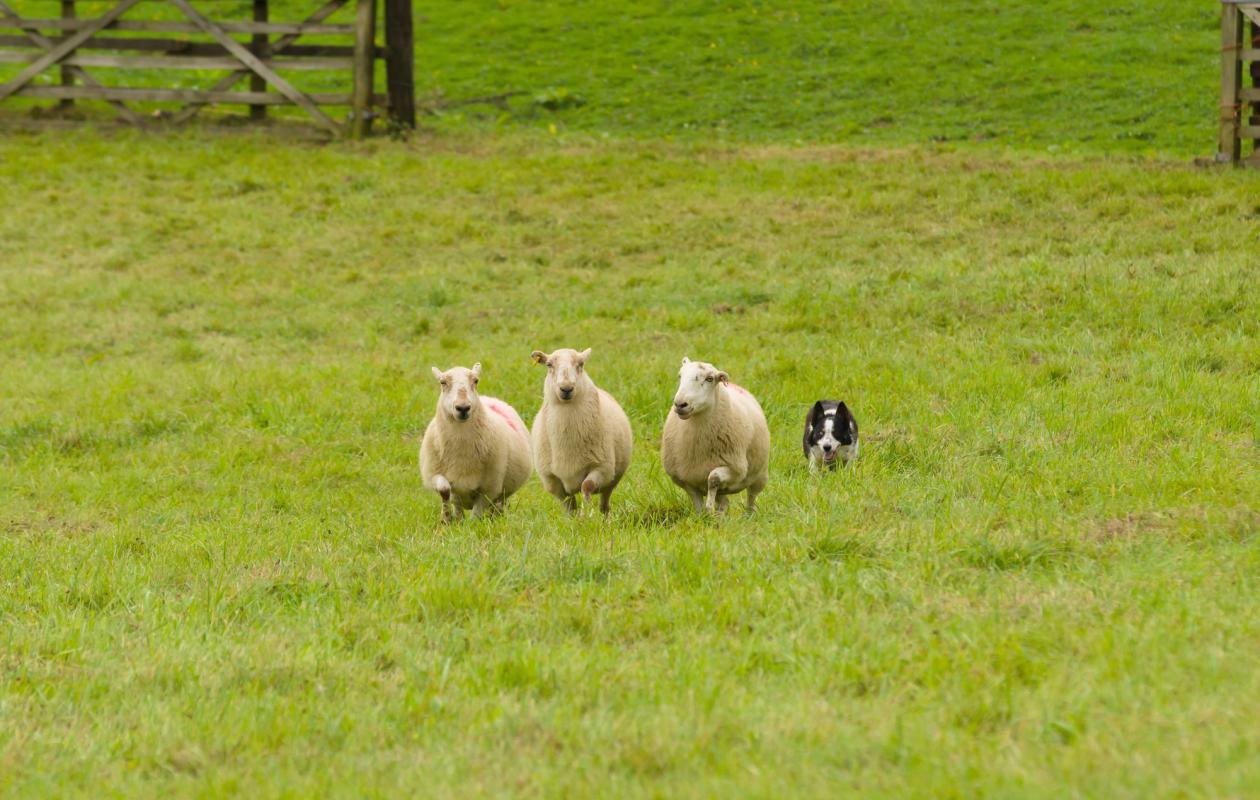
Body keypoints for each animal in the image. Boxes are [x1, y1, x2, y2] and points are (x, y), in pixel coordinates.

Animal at [420, 363, 532, 521]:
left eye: (476, 381)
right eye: (443, 382)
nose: (463, 408)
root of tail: (489, 398)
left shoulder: (489, 487)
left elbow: (476, 515)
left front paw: (472, 525)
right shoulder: (433, 473)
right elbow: (444, 489)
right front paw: (446, 518)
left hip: (501, 491)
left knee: (497, 504)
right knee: (458, 504)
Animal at [529, 347, 633, 515]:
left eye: (581, 364)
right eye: (549, 364)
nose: (566, 388)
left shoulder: (602, 468)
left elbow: (587, 486)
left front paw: (587, 515)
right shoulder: (552, 479)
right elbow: (569, 505)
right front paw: (573, 519)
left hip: (612, 479)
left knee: (604, 503)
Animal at [660, 357, 770, 514]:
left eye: (710, 379)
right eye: (680, 376)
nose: (680, 404)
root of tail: (735, 386)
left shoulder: (735, 469)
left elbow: (713, 478)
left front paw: (709, 506)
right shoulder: (687, 480)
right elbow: (698, 506)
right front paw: (704, 516)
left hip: (760, 475)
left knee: (751, 497)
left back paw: (749, 514)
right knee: (724, 502)